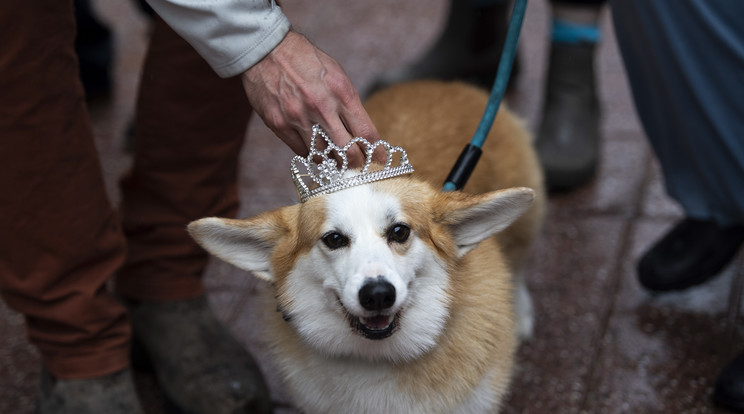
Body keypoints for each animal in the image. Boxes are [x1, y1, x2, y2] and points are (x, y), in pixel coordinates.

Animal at [189, 81, 544, 414]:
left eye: (400, 231)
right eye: (333, 239)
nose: (378, 295)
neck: (376, 359)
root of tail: (440, 83)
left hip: (526, 227)